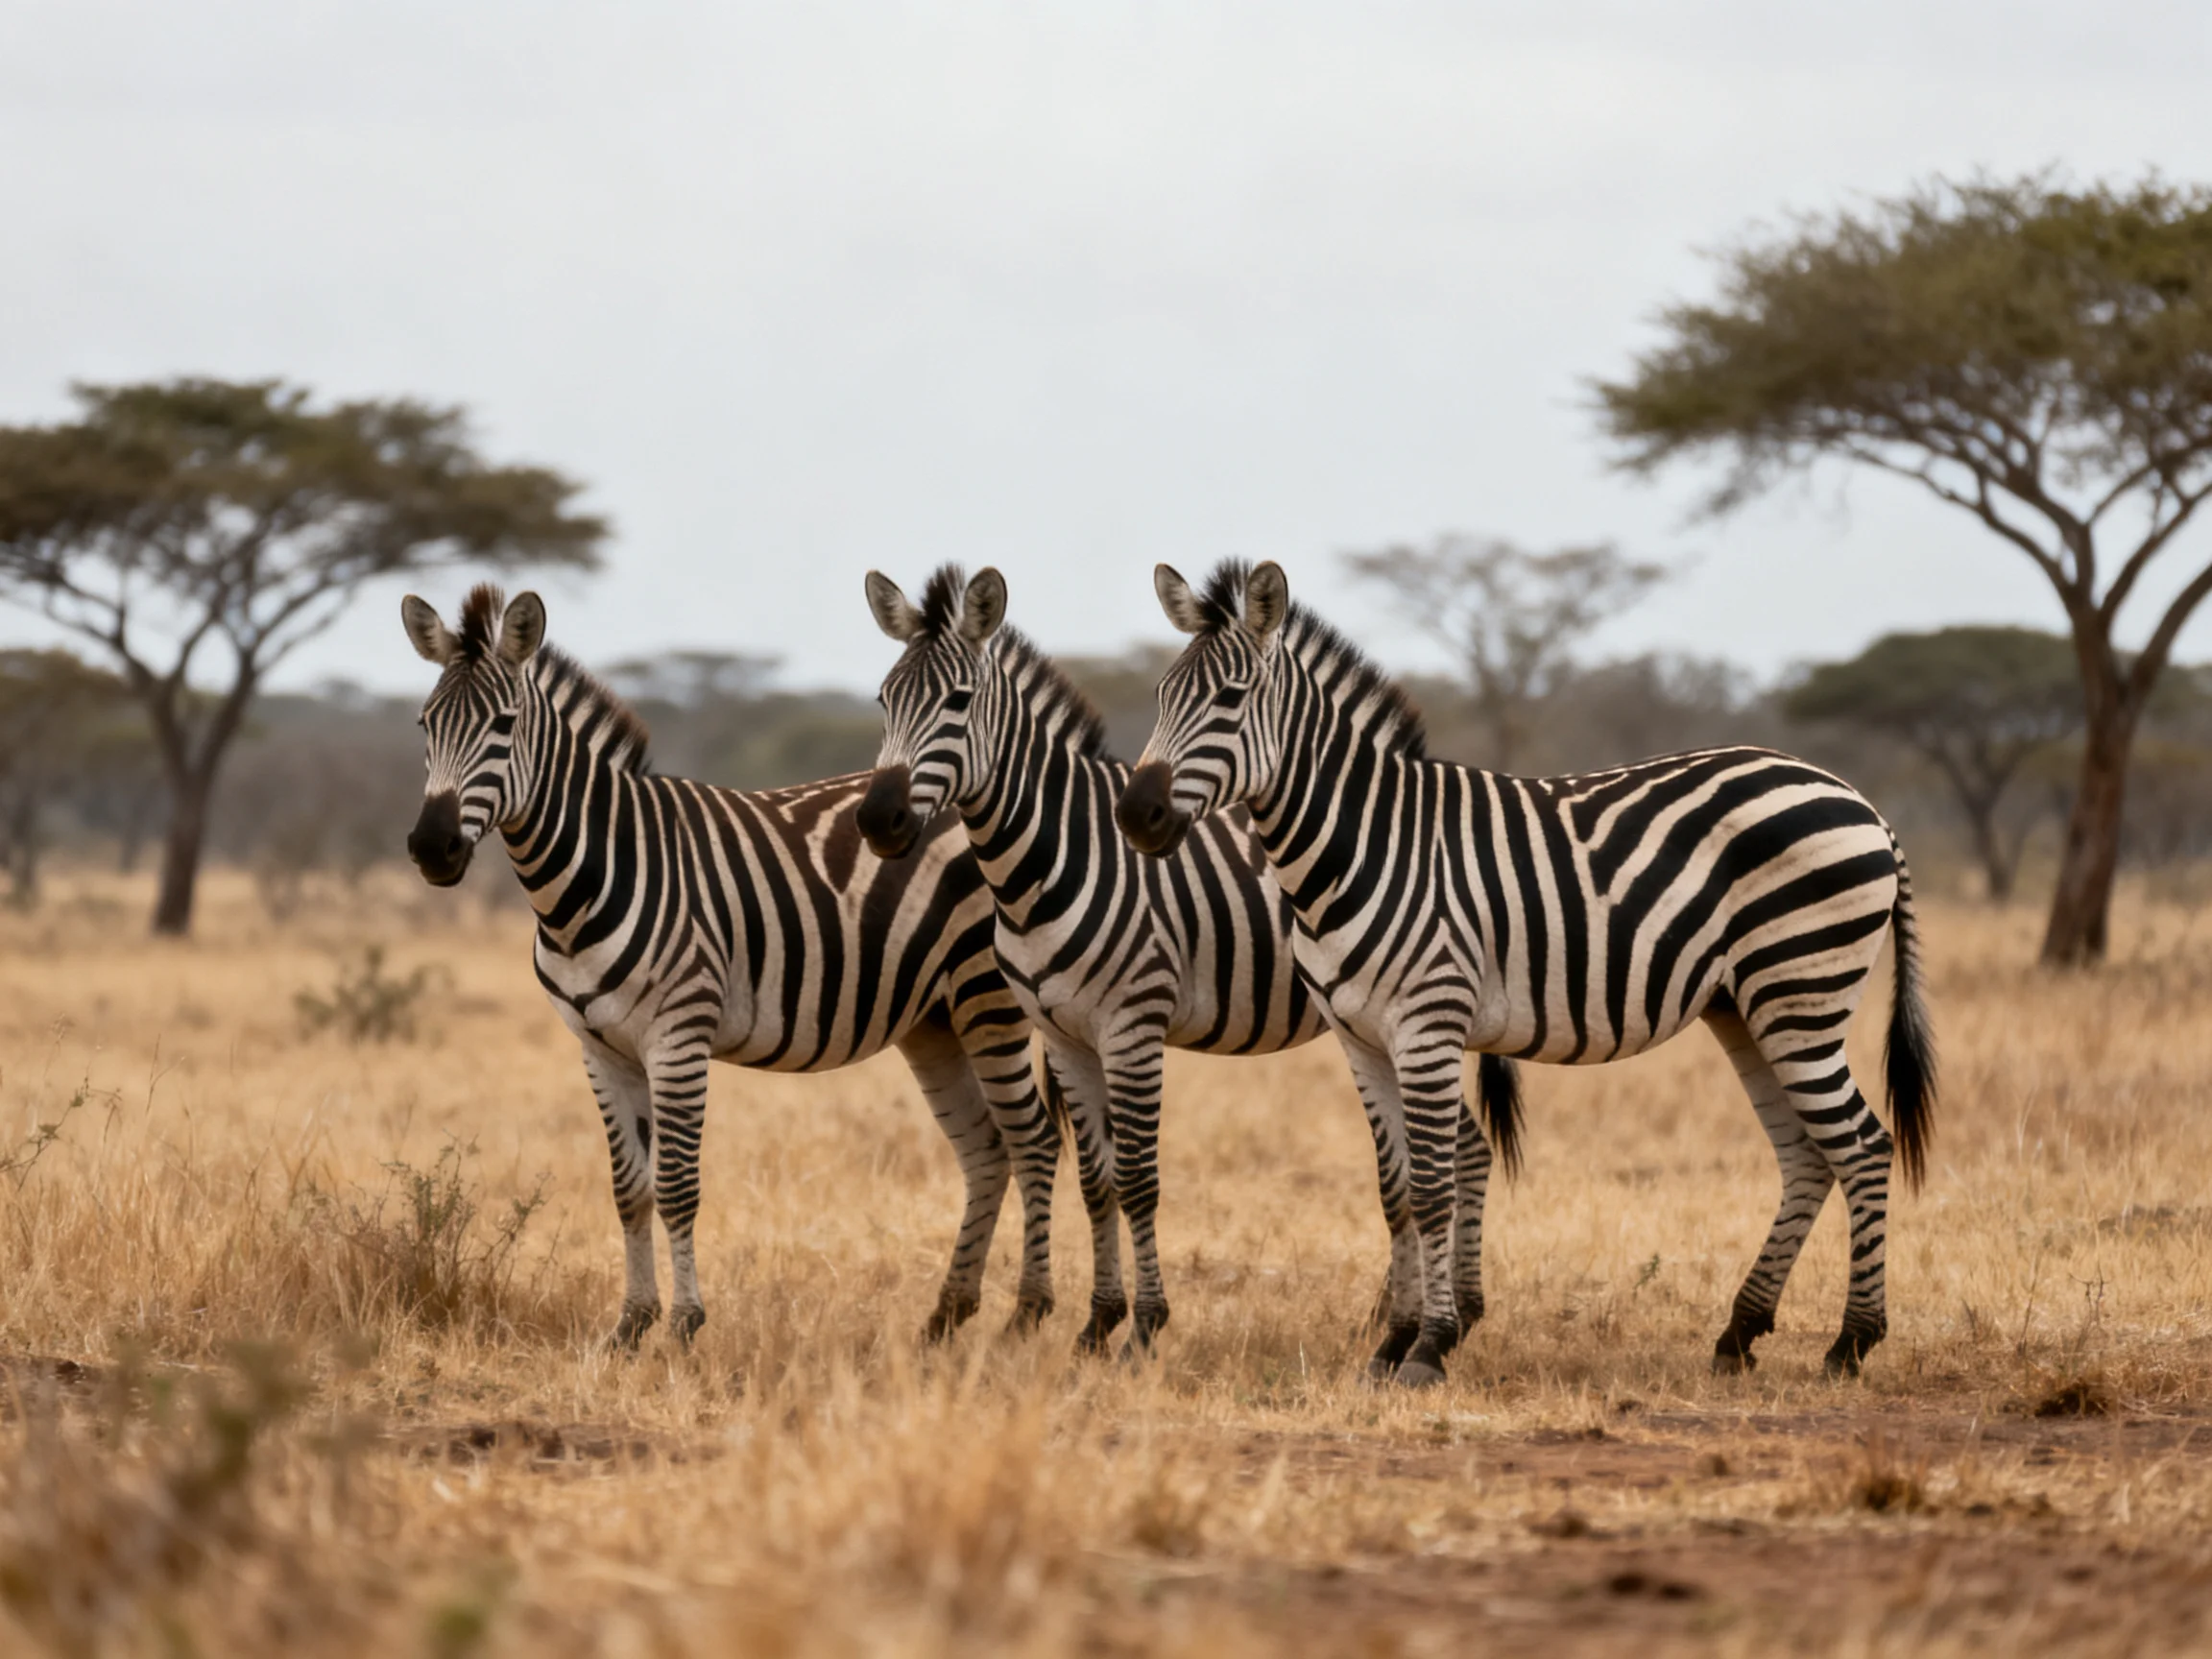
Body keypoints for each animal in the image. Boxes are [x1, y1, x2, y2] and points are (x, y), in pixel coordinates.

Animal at [400, 583, 1061, 1348]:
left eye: (504, 725)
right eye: (425, 724)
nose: (433, 848)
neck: (590, 876)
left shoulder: (678, 1036)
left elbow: (678, 1186)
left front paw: (685, 1324)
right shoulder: (598, 1048)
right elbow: (630, 1190)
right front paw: (631, 1325)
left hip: (990, 999)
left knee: (1035, 1140)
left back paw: (1028, 1313)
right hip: (934, 1020)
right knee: (986, 1150)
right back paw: (946, 1315)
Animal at [855, 564, 1521, 1359]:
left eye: (956, 703)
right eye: (884, 701)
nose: (878, 821)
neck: (1050, 861)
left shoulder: (1132, 1024)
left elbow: (1139, 1180)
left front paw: (1143, 1328)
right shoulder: (1063, 1032)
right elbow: (1099, 1182)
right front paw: (1097, 1325)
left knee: (1454, 1154)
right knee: (1458, 1153)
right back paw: (1433, 1313)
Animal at [1116, 560, 1936, 1389]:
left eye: (1230, 699)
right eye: (1159, 695)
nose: (1135, 816)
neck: (1359, 846)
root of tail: (1859, 801)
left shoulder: (1428, 1025)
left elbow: (1435, 1187)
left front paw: (1429, 1346)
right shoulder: (1360, 1037)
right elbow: (1395, 1189)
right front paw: (1391, 1344)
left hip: (1801, 994)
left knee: (1863, 1146)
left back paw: (1851, 1343)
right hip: (1746, 1009)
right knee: (1807, 1155)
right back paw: (1739, 1334)